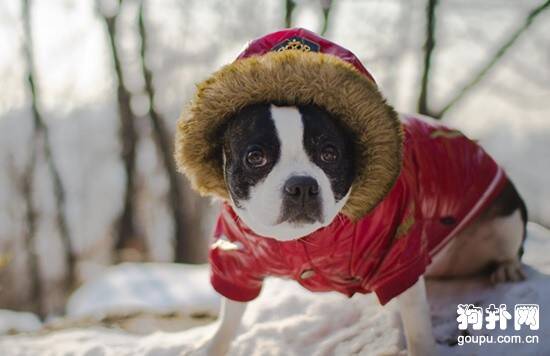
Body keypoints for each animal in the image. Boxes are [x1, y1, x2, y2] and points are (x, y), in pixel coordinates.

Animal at [178, 28, 532, 356]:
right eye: (255, 157)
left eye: (330, 154)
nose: (302, 185)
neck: (302, 242)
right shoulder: (235, 256)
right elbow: (228, 319)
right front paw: (213, 346)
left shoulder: (398, 255)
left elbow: (418, 328)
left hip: (507, 217)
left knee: (509, 246)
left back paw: (507, 267)